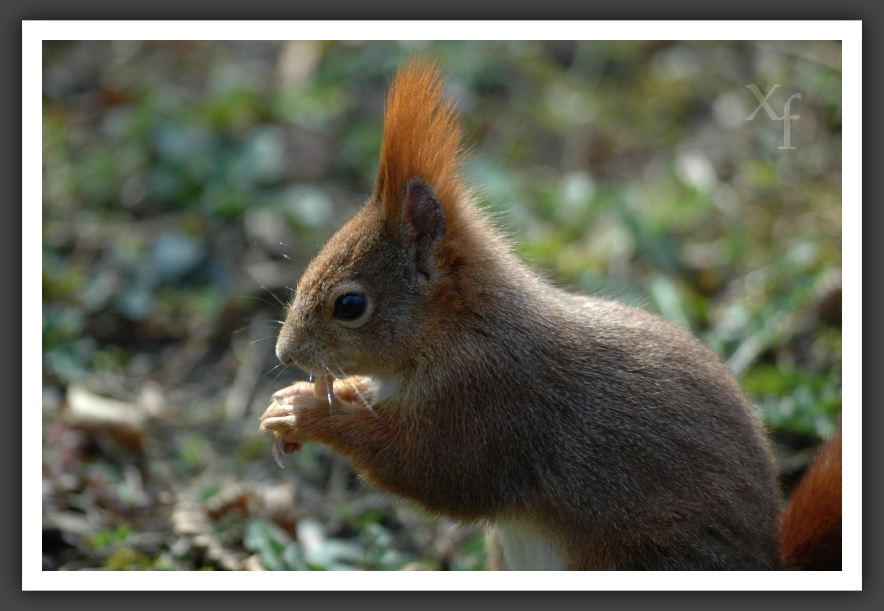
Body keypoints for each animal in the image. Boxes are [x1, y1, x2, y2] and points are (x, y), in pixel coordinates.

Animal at [258, 58, 844, 572]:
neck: (462, 326)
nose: (284, 354)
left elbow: (433, 470)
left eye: (350, 305)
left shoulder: (492, 397)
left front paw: (310, 416)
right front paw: (301, 396)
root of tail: (768, 564)